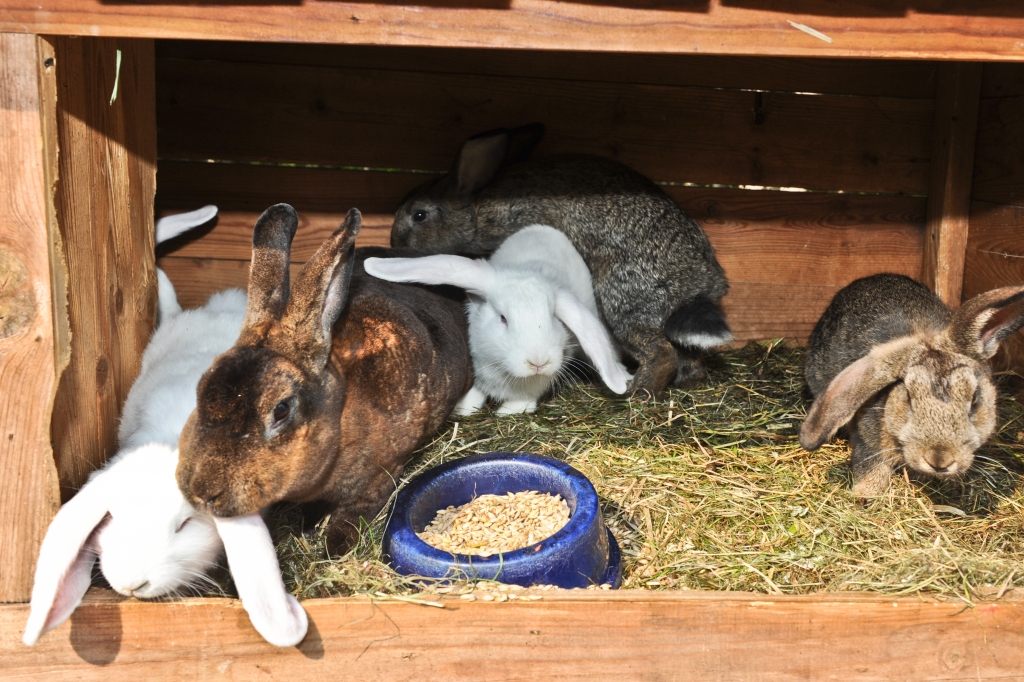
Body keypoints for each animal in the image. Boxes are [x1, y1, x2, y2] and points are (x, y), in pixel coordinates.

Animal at [178, 201, 473, 552]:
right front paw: (305, 524)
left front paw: (333, 548)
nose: (202, 493)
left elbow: (351, 517)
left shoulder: (381, 476)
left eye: (281, 410)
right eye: (200, 388)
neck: (341, 416)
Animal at [364, 225, 626, 411]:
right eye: (503, 319)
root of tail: (545, 228)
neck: (506, 373)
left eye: (553, 316)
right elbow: (476, 392)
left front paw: (509, 412)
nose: (538, 362)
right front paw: (464, 407)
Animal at [387, 124, 733, 395]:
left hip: (624, 298)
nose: (394, 243)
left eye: (419, 215)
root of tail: (704, 284)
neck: (476, 210)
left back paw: (638, 394)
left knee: (661, 352)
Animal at [798, 274, 1024, 497]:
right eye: (908, 397)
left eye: (975, 398)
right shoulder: (867, 441)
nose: (939, 460)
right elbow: (871, 464)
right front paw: (865, 496)